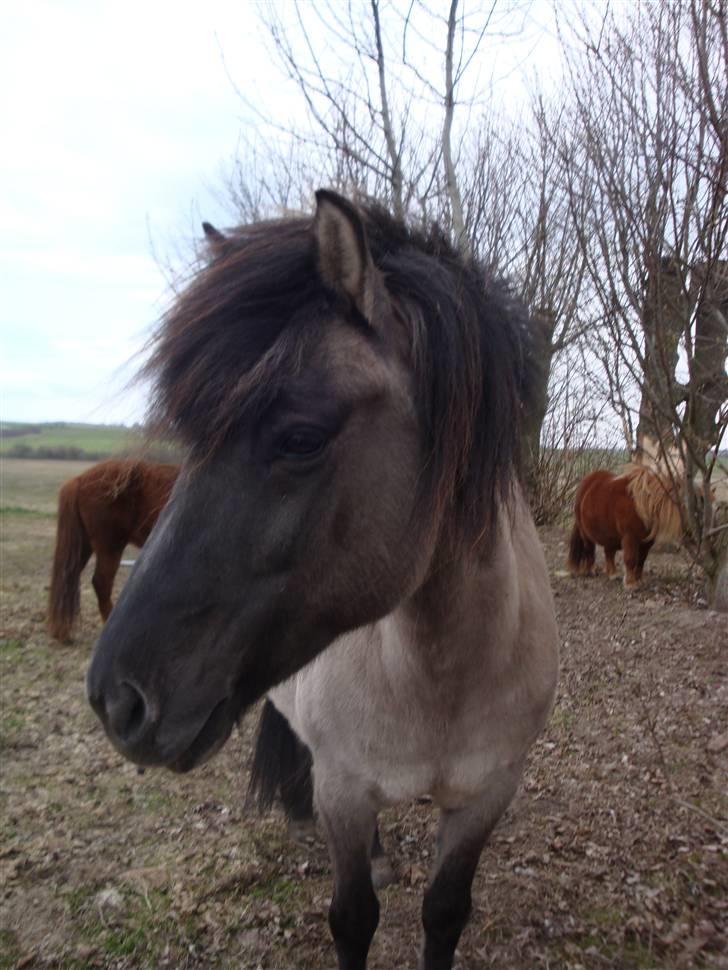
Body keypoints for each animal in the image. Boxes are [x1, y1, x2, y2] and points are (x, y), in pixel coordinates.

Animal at [88, 191, 560, 968]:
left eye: (300, 439)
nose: (116, 701)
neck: (441, 672)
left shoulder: (487, 794)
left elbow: (444, 912)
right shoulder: (343, 789)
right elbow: (353, 917)